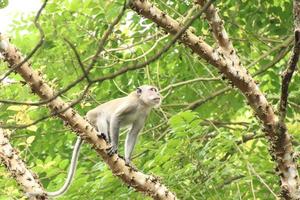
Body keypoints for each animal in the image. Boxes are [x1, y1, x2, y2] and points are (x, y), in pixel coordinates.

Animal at [28, 84, 162, 197]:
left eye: (156, 89)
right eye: (152, 89)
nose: (158, 94)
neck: (141, 103)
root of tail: (86, 118)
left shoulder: (144, 114)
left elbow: (133, 133)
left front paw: (128, 160)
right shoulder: (131, 104)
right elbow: (115, 118)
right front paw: (114, 146)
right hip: (92, 116)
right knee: (103, 117)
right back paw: (105, 138)